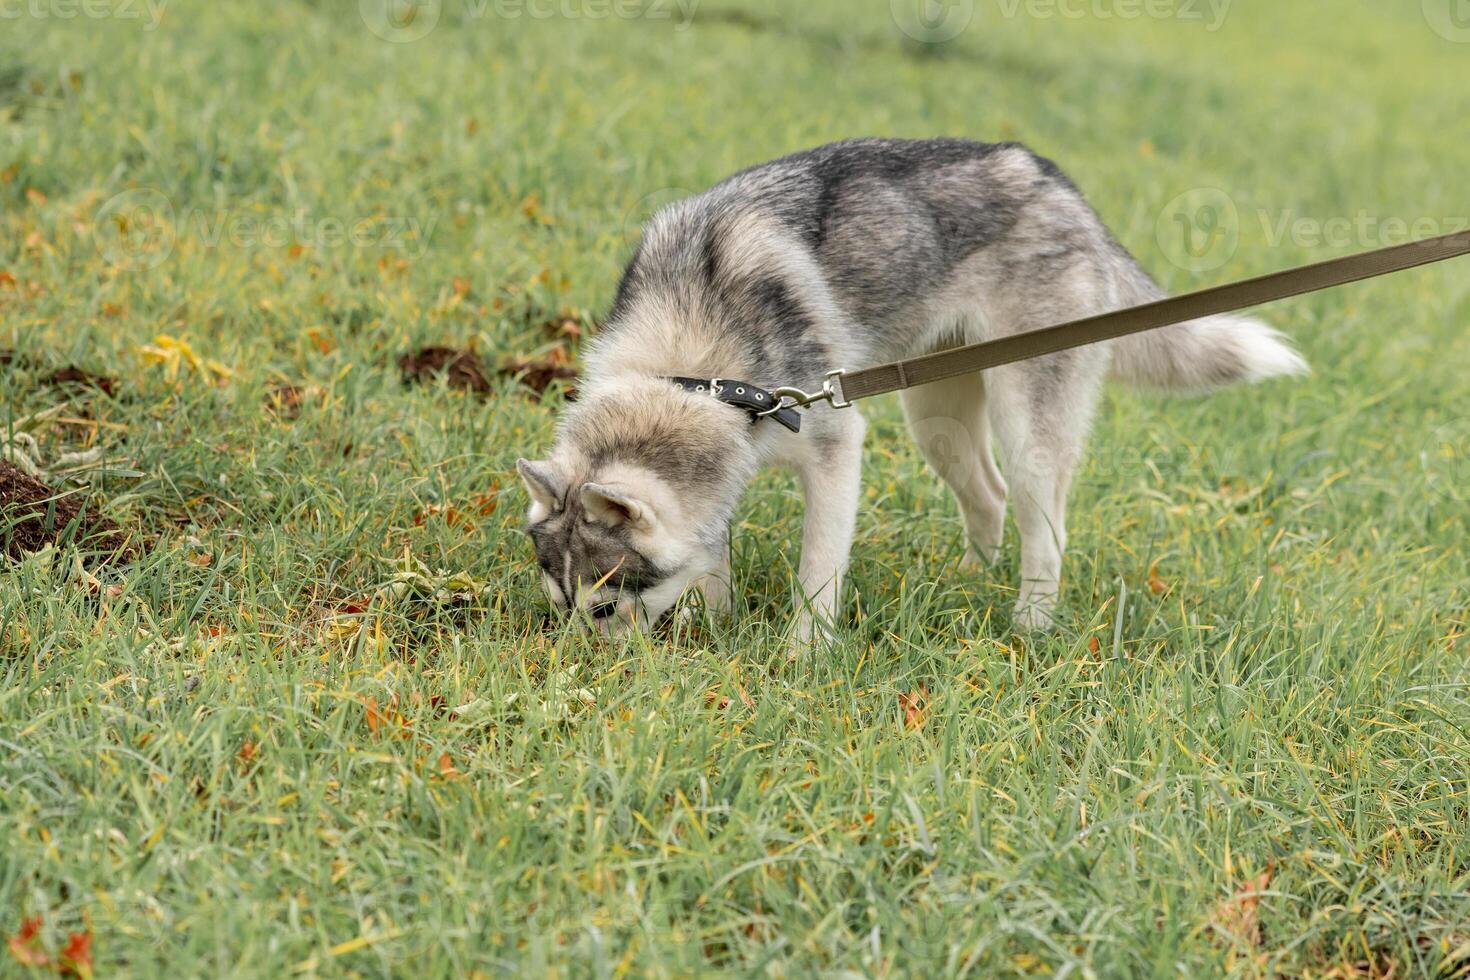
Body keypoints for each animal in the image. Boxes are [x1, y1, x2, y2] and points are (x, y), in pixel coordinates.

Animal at [520, 139, 1311, 643]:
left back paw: (1029, 627)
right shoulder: (727, 468)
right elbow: (712, 554)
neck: (693, 368)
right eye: (558, 605)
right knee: (988, 498)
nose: (579, 671)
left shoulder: (836, 446)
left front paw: (802, 655)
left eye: (602, 608)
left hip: (1027, 426)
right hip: (935, 418)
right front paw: (717, 625)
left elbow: (818, 575)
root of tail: (1060, 186)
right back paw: (966, 582)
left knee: (1046, 530)